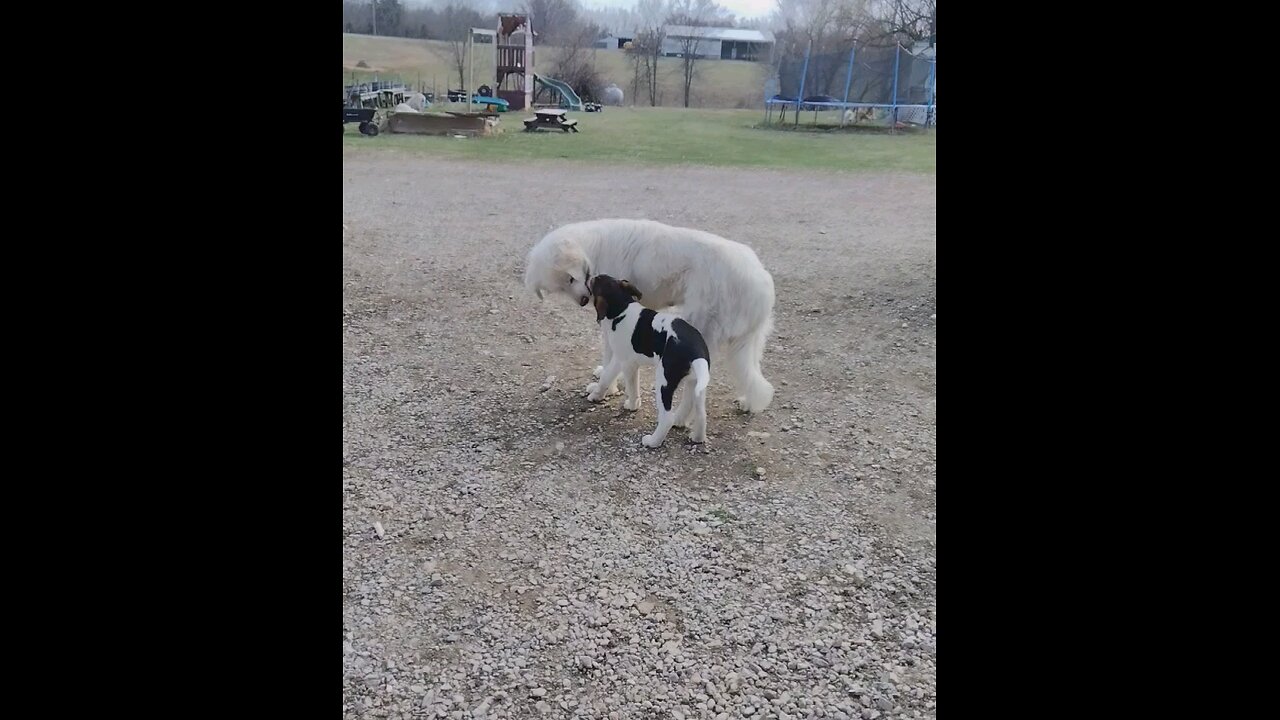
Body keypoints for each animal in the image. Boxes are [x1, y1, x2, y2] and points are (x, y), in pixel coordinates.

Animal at [524, 217, 773, 409]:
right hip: (750, 344)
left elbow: (610, 355)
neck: (593, 249)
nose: (584, 301)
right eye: (561, 288)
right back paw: (748, 403)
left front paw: (606, 387)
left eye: (570, 278)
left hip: (699, 331)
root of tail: (761, 282)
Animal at [586, 272, 716, 445]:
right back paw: (697, 438)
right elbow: (632, 385)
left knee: (667, 418)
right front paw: (633, 404)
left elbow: (608, 378)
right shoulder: (631, 364)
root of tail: (697, 352)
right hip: (695, 383)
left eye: (595, 281)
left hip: (664, 382)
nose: (589, 276)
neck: (622, 308)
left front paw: (597, 396)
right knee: (701, 414)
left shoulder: (621, 361)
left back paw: (652, 441)